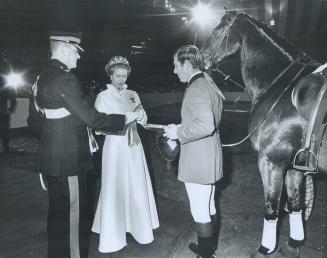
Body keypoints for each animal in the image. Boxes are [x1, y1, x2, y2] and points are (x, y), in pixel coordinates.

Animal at [201, 10, 327, 258]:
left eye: (216, 31)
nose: (202, 58)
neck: (283, 88)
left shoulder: (271, 162)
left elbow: (271, 208)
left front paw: (264, 249)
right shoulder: (295, 165)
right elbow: (296, 204)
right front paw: (293, 244)